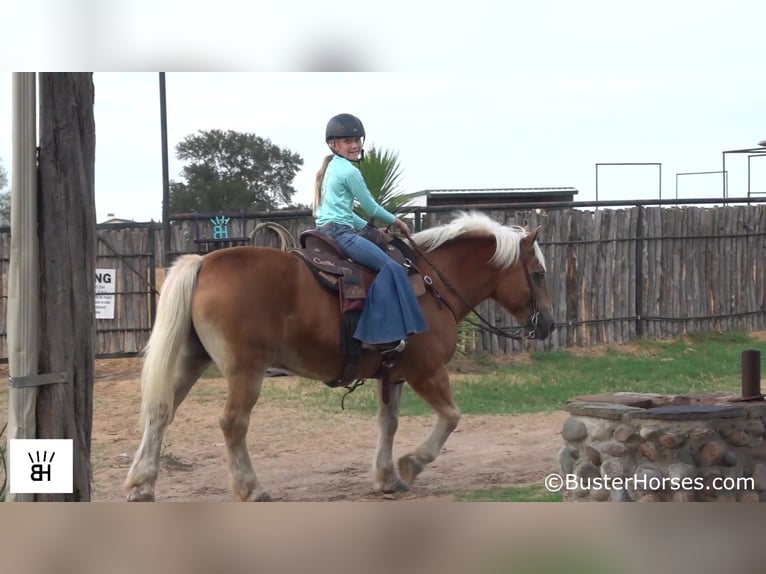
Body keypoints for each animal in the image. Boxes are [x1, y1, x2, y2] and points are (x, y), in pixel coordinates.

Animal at [124, 213, 552, 504]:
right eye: (538, 273)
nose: (547, 323)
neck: (432, 284)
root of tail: (205, 263)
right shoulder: (427, 371)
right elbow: (450, 417)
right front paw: (411, 464)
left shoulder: (393, 374)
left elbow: (388, 423)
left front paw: (386, 477)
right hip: (247, 371)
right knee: (233, 424)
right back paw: (251, 488)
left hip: (190, 360)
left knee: (160, 413)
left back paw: (142, 484)